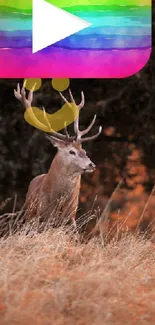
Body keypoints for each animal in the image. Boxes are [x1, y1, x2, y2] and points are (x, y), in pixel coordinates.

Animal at [13, 82, 102, 229]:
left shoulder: (70, 219)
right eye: (71, 151)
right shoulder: (40, 217)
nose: (91, 164)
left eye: (84, 151)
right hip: (27, 215)